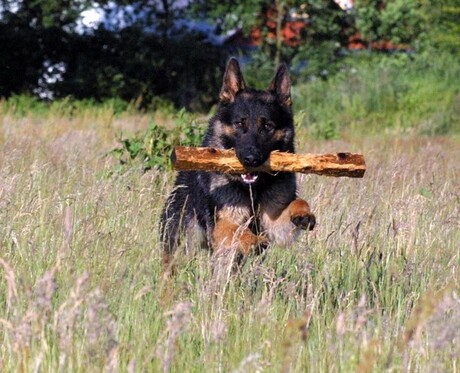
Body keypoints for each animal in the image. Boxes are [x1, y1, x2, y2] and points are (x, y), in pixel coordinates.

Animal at [160, 58, 314, 268]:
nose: (251, 159)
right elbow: (238, 230)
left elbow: (298, 202)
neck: (253, 190)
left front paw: (303, 213)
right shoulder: (222, 223)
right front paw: (254, 241)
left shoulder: (275, 222)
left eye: (268, 126)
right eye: (240, 124)